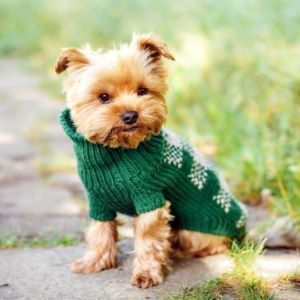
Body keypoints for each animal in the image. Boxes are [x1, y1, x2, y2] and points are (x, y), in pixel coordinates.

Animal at [54, 33, 246, 288]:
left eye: (143, 91)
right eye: (103, 97)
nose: (130, 115)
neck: (115, 153)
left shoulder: (149, 197)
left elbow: (148, 238)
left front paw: (146, 273)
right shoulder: (97, 200)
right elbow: (100, 230)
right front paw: (94, 261)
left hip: (195, 230)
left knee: (213, 245)